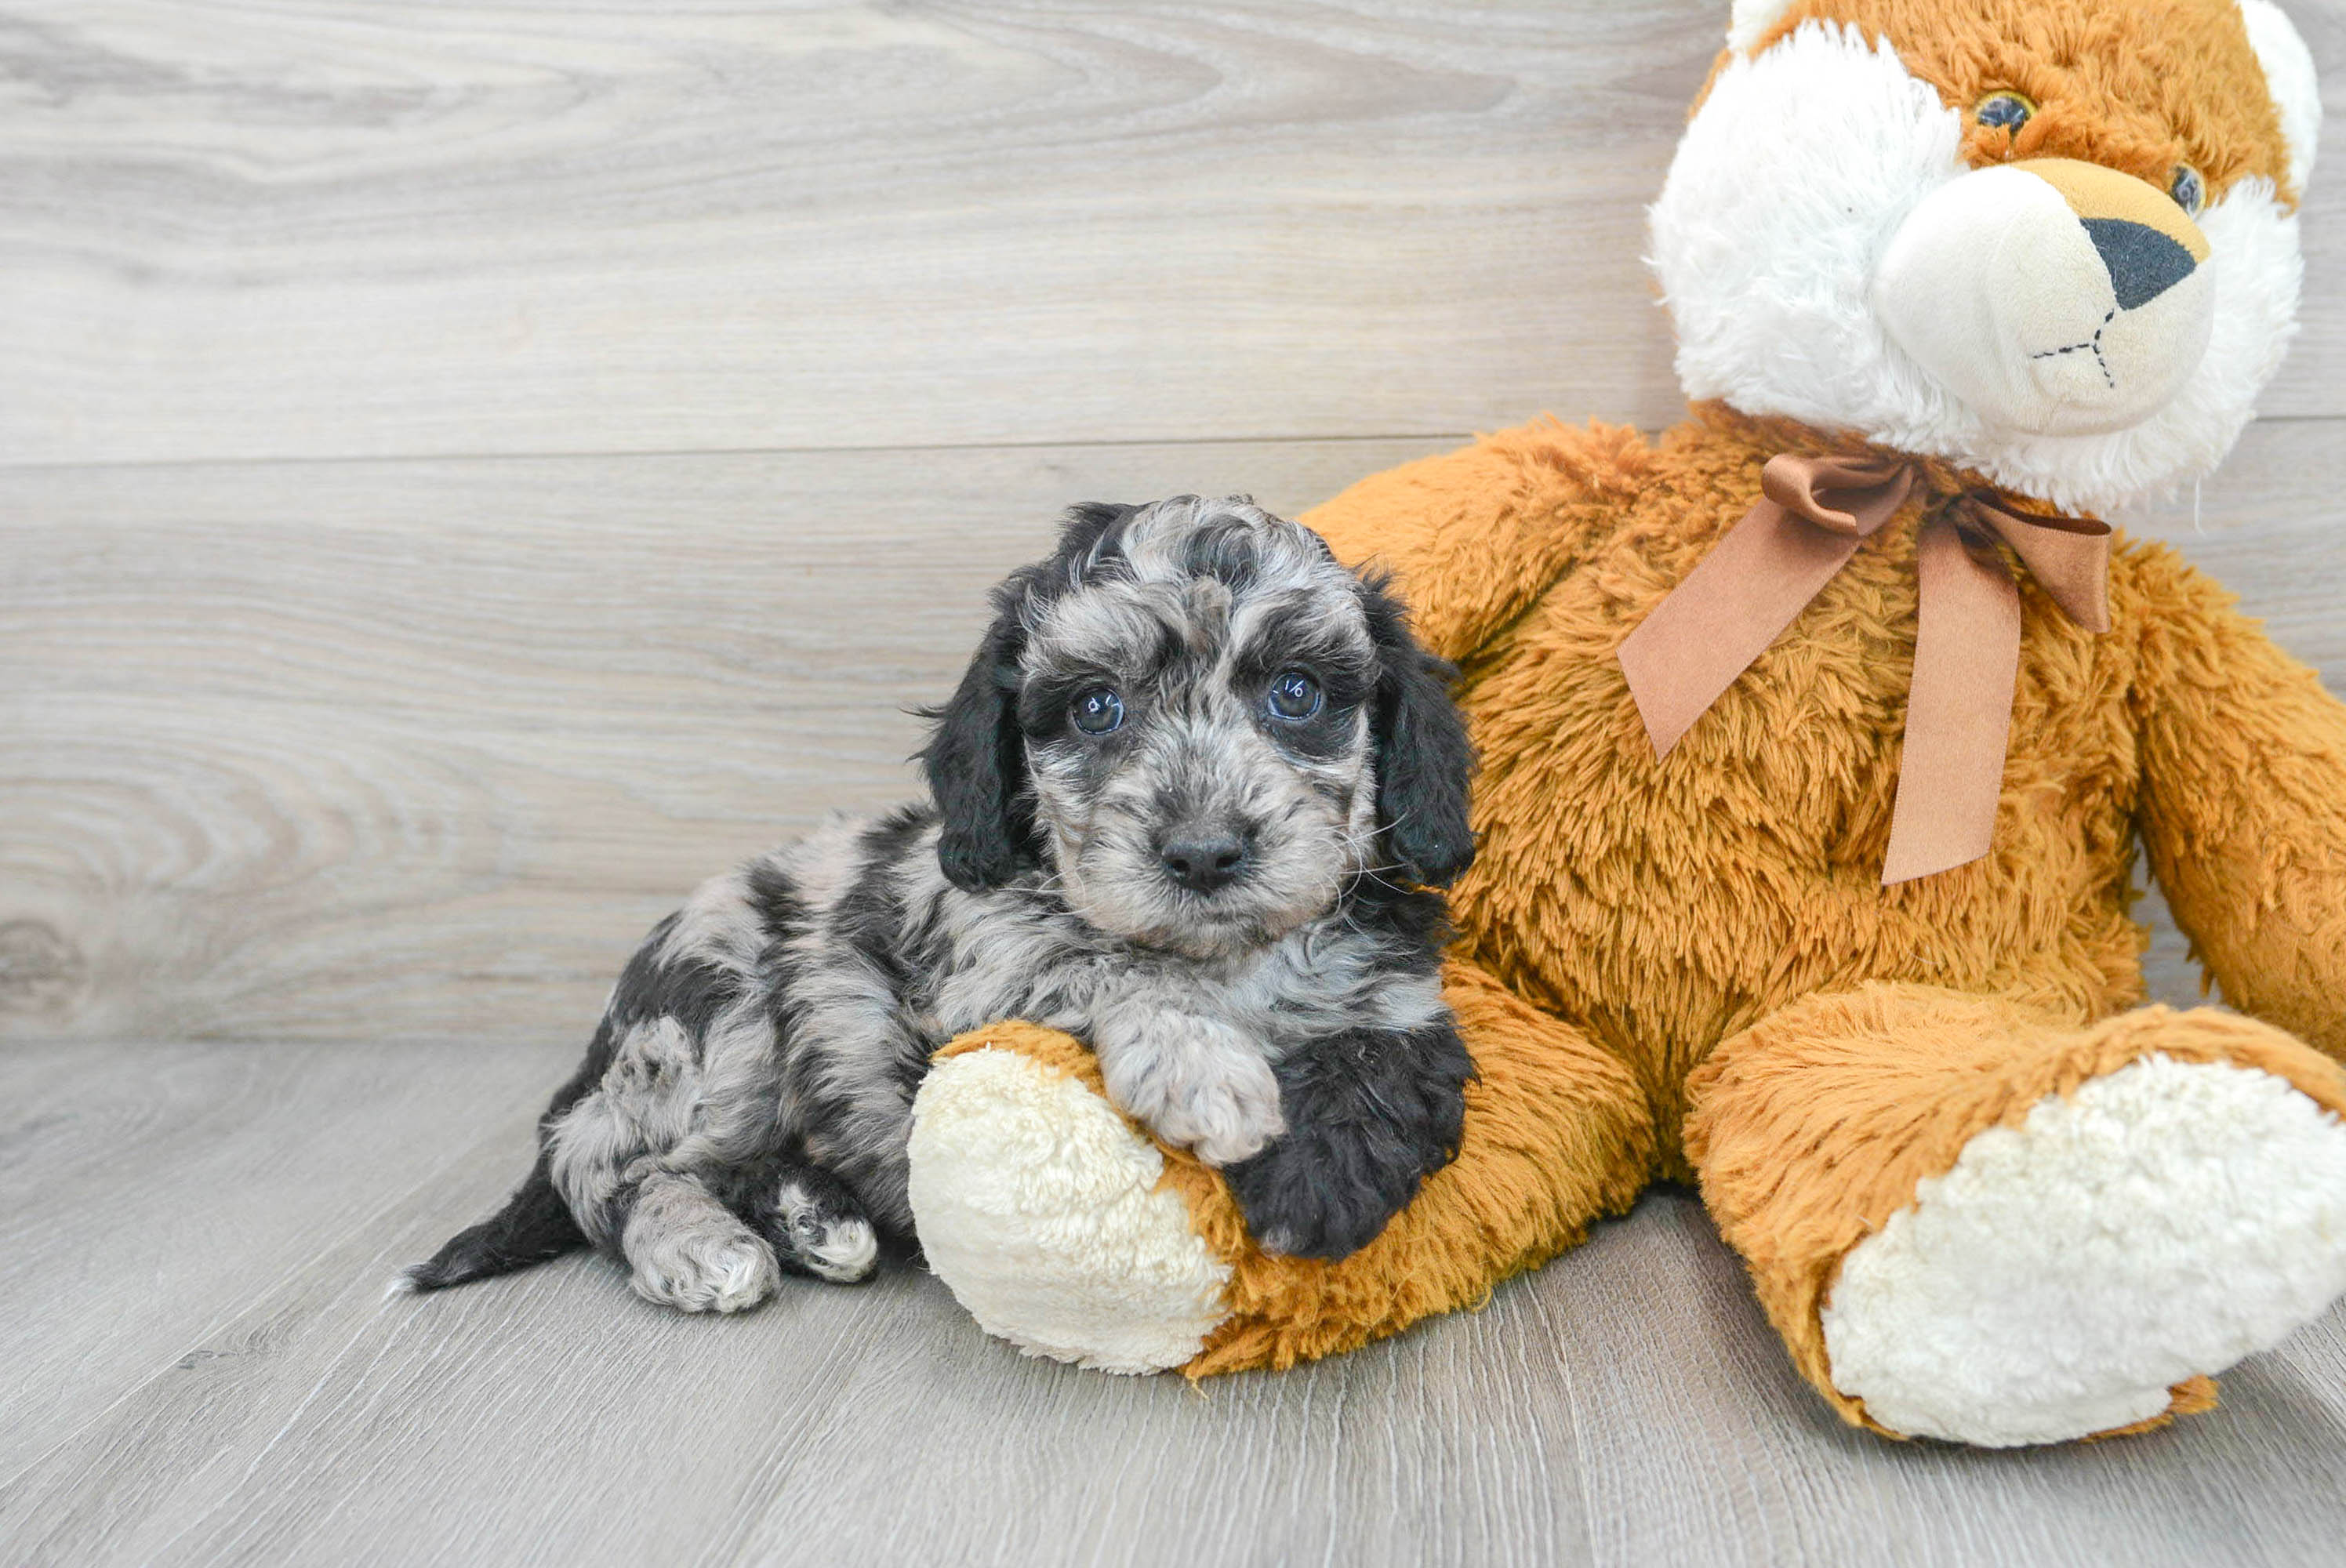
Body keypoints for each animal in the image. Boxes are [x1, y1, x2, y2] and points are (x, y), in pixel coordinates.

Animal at [403, 499, 1464, 1314]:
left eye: (1297, 691)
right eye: (1095, 707)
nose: (1203, 851)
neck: (1224, 957)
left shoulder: (1406, 996)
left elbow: (1389, 1057)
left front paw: (1316, 1182)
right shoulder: (978, 969)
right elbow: (1100, 964)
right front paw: (1202, 1067)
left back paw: (814, 1216)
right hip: (719, 1011)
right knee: (605, 1161)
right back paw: (698, 1246)